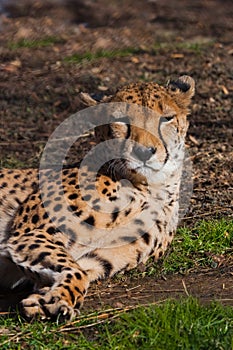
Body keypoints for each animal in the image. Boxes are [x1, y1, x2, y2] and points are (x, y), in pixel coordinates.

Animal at [0, 76, 195, 320]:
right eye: (121, 120)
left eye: (166, 118)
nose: (143, 152)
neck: (149, 187)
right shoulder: (29, 234)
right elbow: (73, 269)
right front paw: (57, 300)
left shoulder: (102, 257)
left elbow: (79, 271)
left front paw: (53, 298)